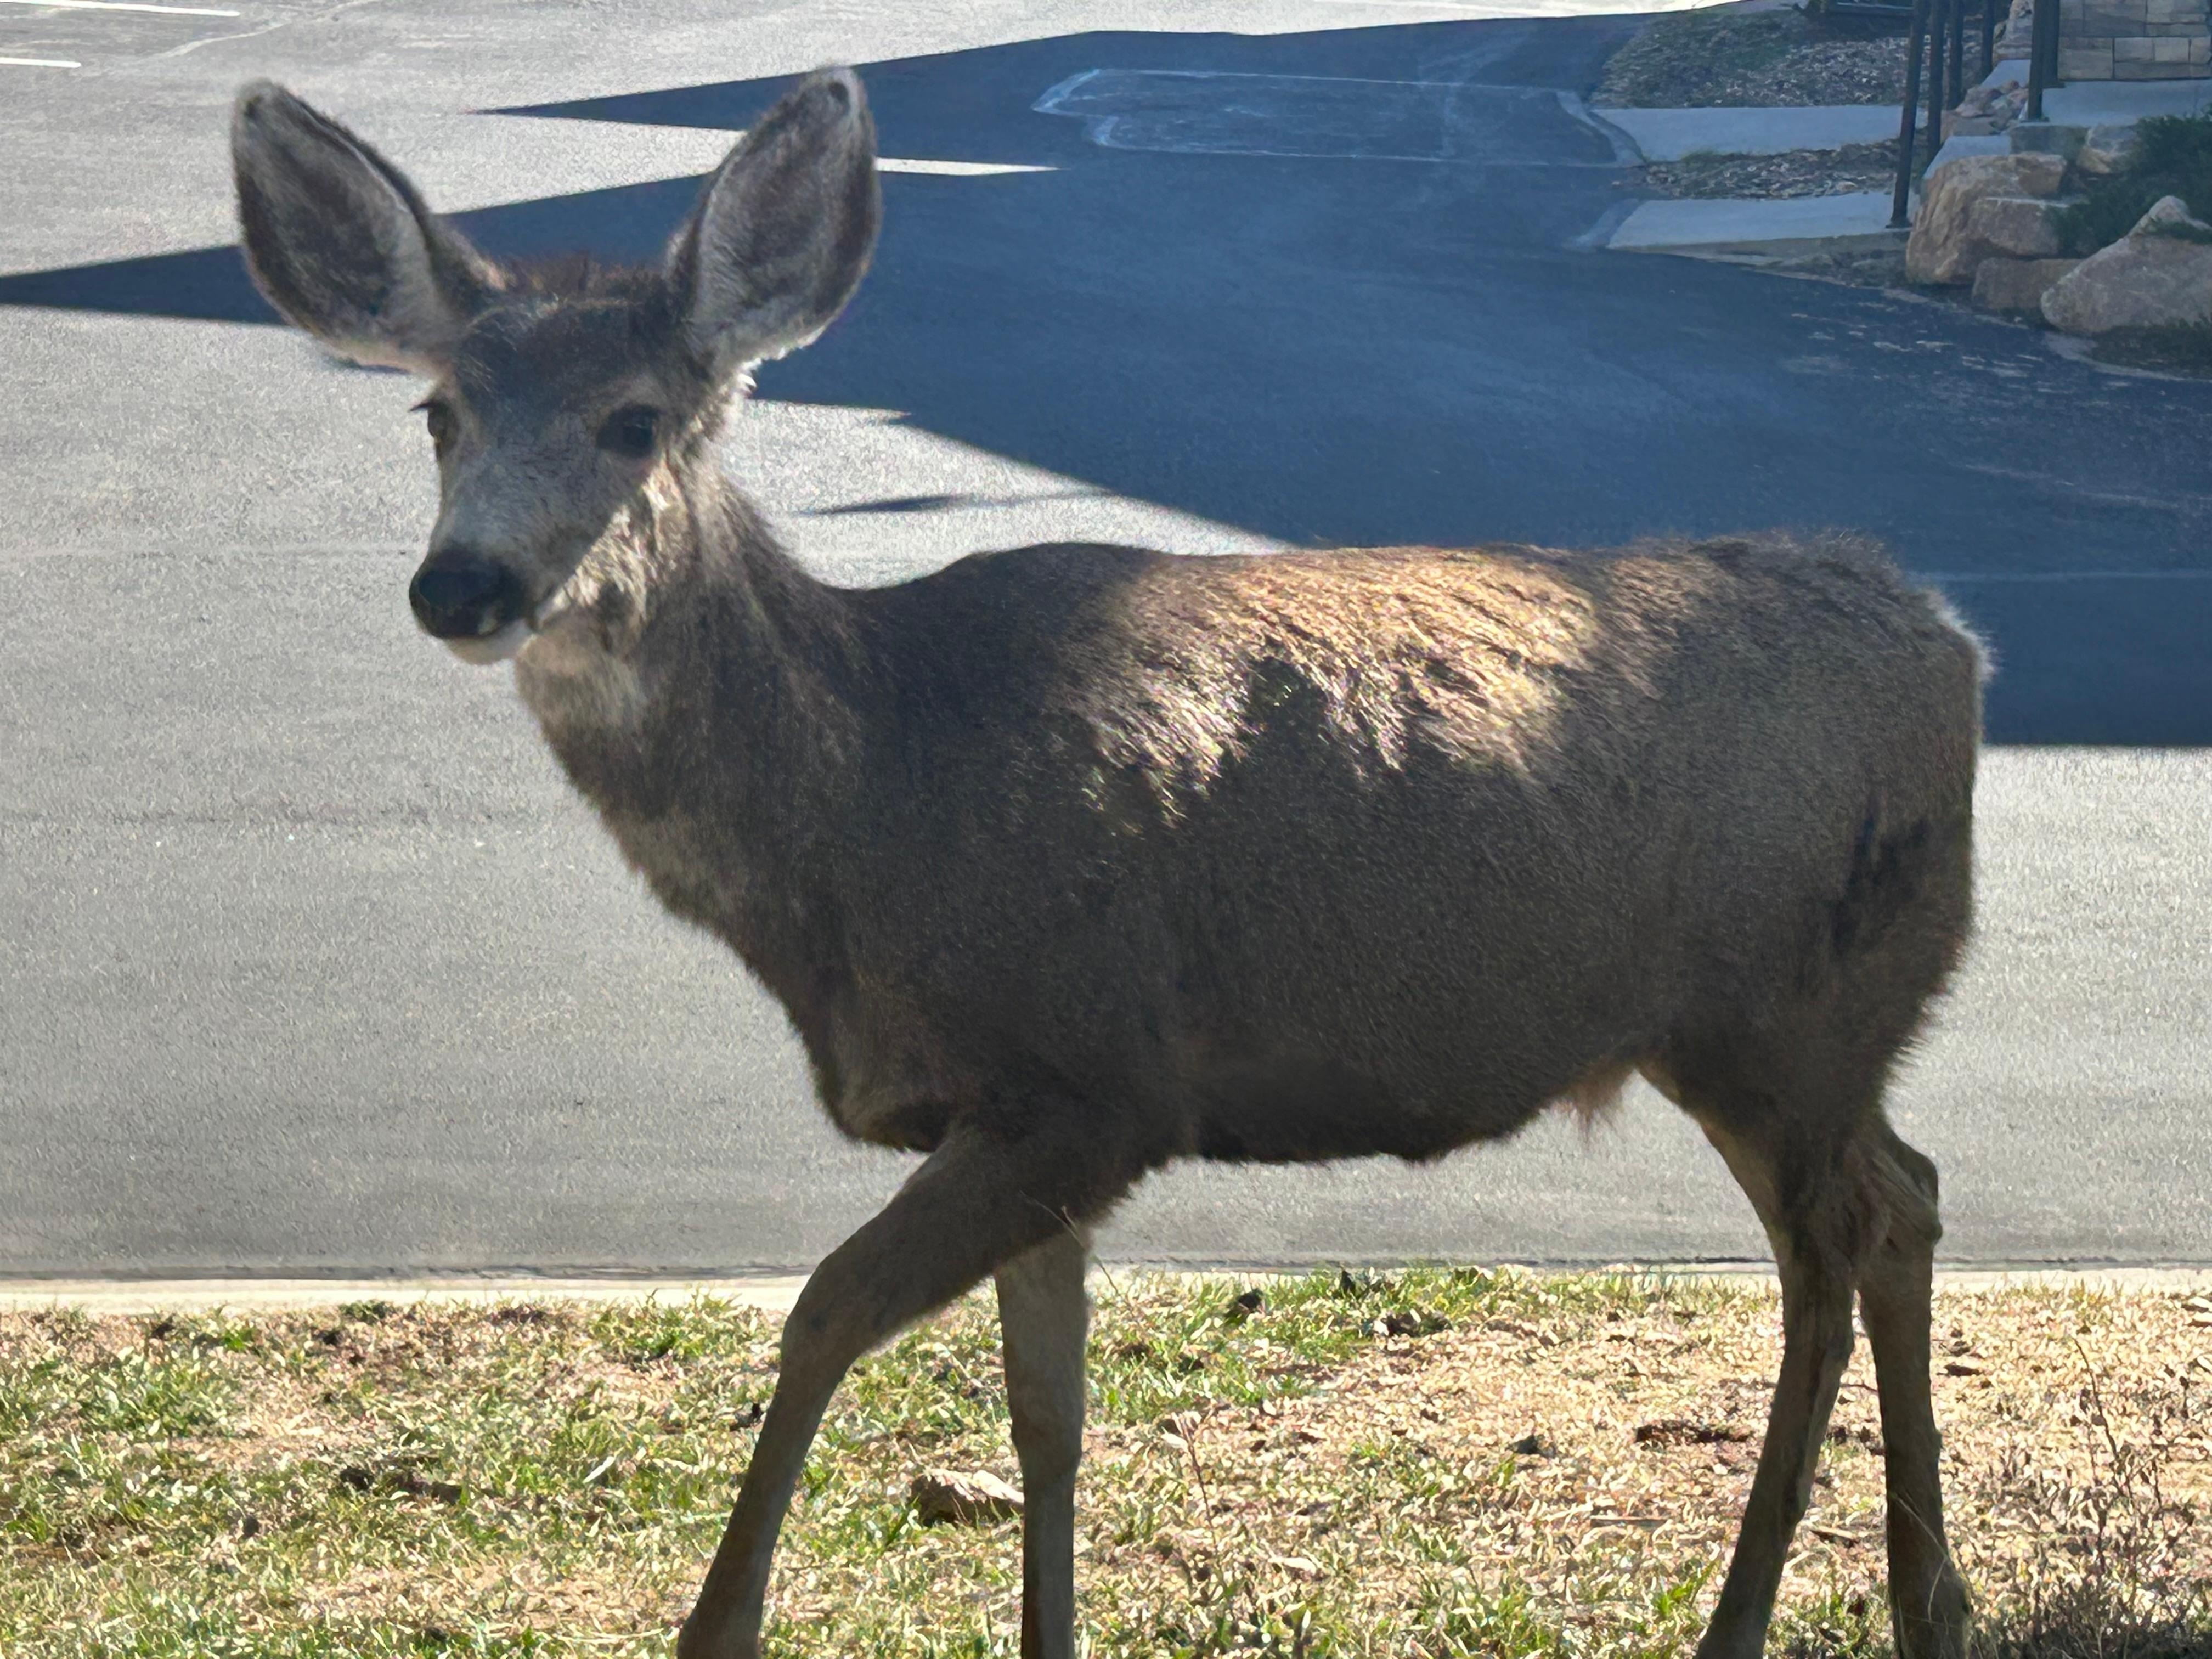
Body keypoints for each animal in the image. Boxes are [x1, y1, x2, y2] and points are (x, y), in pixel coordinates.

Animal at [231, 66, 1982, 1659]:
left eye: (635, 421)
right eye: (439, 413)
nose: (462, 584)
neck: (871, 809)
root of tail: (1952, 639)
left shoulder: (1086, 1076)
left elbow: (819, 1316)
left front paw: (718, 1628)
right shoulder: (1033, 1124)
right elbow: (1045, 1418)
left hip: (1800, 1010)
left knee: (1856, 1229)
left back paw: (1829, 1612)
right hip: (1769, 1036)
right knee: (1887, 1208)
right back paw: (1866, 1606)